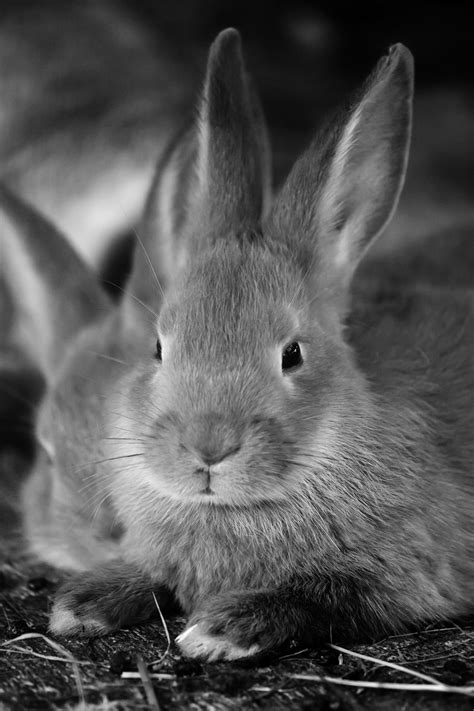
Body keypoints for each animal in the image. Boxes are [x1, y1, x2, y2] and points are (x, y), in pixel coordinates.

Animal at [4, 28, 472, 662]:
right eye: (159, 348)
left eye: (292, 353)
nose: (208, 447)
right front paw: (84, 603)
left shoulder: (412, 569)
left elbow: (324, 594)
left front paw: (220, 630)